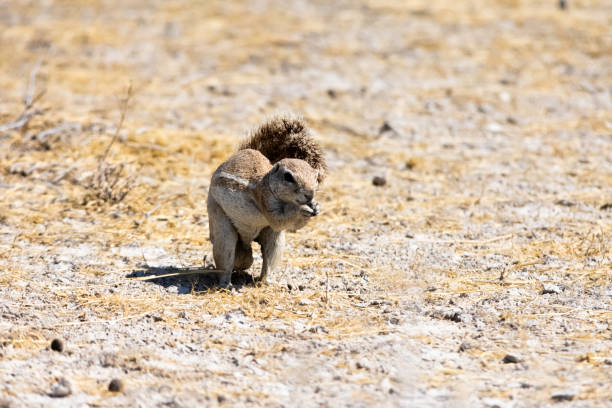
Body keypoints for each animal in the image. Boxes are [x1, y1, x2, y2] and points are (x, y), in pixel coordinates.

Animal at [208, 114, 328, 286]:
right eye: (288, 177)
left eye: (316, 178)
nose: (310, 195)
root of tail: (246, 240)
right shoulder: (265, 200)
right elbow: (278, 219)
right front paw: (300, 209)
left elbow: (294, 226)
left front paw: (317, 207)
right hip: (220, 225)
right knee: (226, 257)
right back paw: (226, 283)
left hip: (274, 239)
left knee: (267, 259)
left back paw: (266, 281)